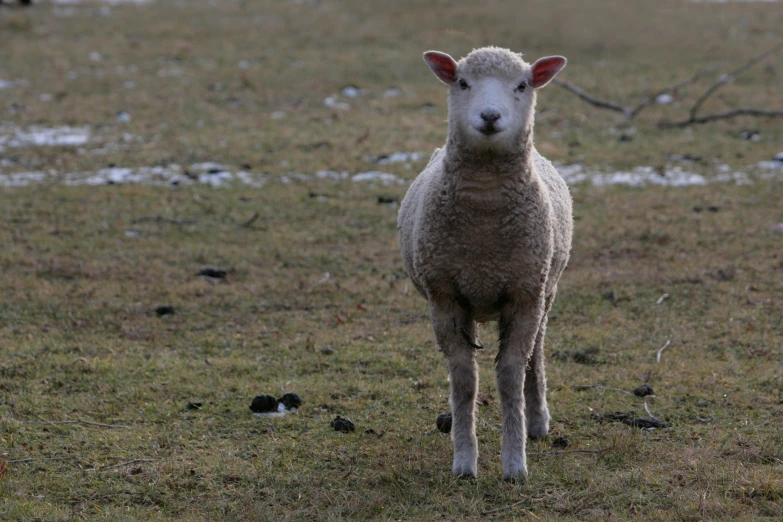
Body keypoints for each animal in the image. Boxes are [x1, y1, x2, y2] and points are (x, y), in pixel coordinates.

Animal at [398, 46, 576, 478]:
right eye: (463, 83)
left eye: (522, 85)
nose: (490, 116)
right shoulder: (444, 296)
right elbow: (464, 380)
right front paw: (465, 461)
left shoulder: (525, 293)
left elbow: (510, 376)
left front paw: (514, 463)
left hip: (545, 292)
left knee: (535, 355)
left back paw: (538, 420)